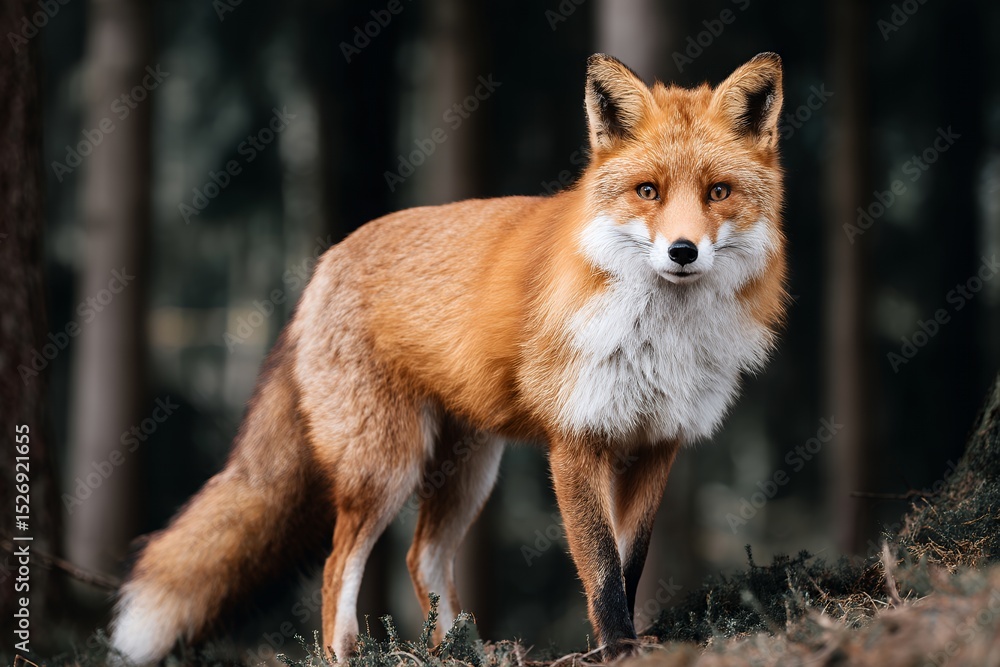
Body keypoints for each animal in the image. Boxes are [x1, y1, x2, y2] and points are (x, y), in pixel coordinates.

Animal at [110, 52, 787, 663]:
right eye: (648, 191)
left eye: (718, 192)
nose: (682, 251)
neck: (658, 338)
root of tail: (325, 264)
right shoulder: (577, 443)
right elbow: (600, 569)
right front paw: (617, 648)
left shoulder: (655, 444)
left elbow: (631, 563)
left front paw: (625, 641)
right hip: (386, 466)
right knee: (336, 566)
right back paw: (348, 654)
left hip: (469, 469)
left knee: (423, 558)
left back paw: (466, 649)